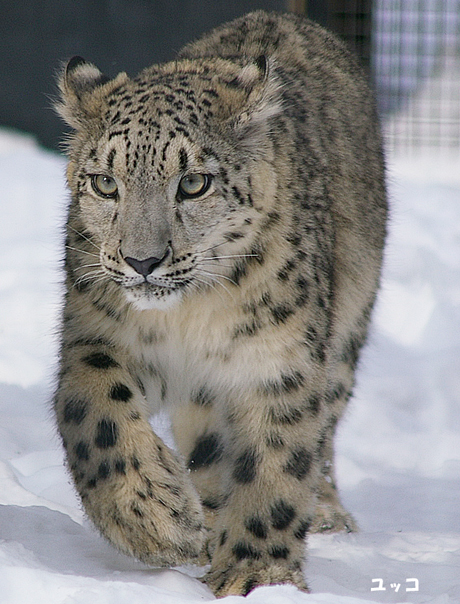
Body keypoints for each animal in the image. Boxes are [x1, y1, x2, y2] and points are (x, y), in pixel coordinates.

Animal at [54, 10, 386, 600]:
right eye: (105, 183)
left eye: (193, 182)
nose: (142, 261)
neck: (188, 319)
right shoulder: (93, 338)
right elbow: (96, 419)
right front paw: (159, 522)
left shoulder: (278, 365)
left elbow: (276, 465)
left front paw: (256, 575)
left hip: (343, 338)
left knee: (321, 437)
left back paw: (324, 514)